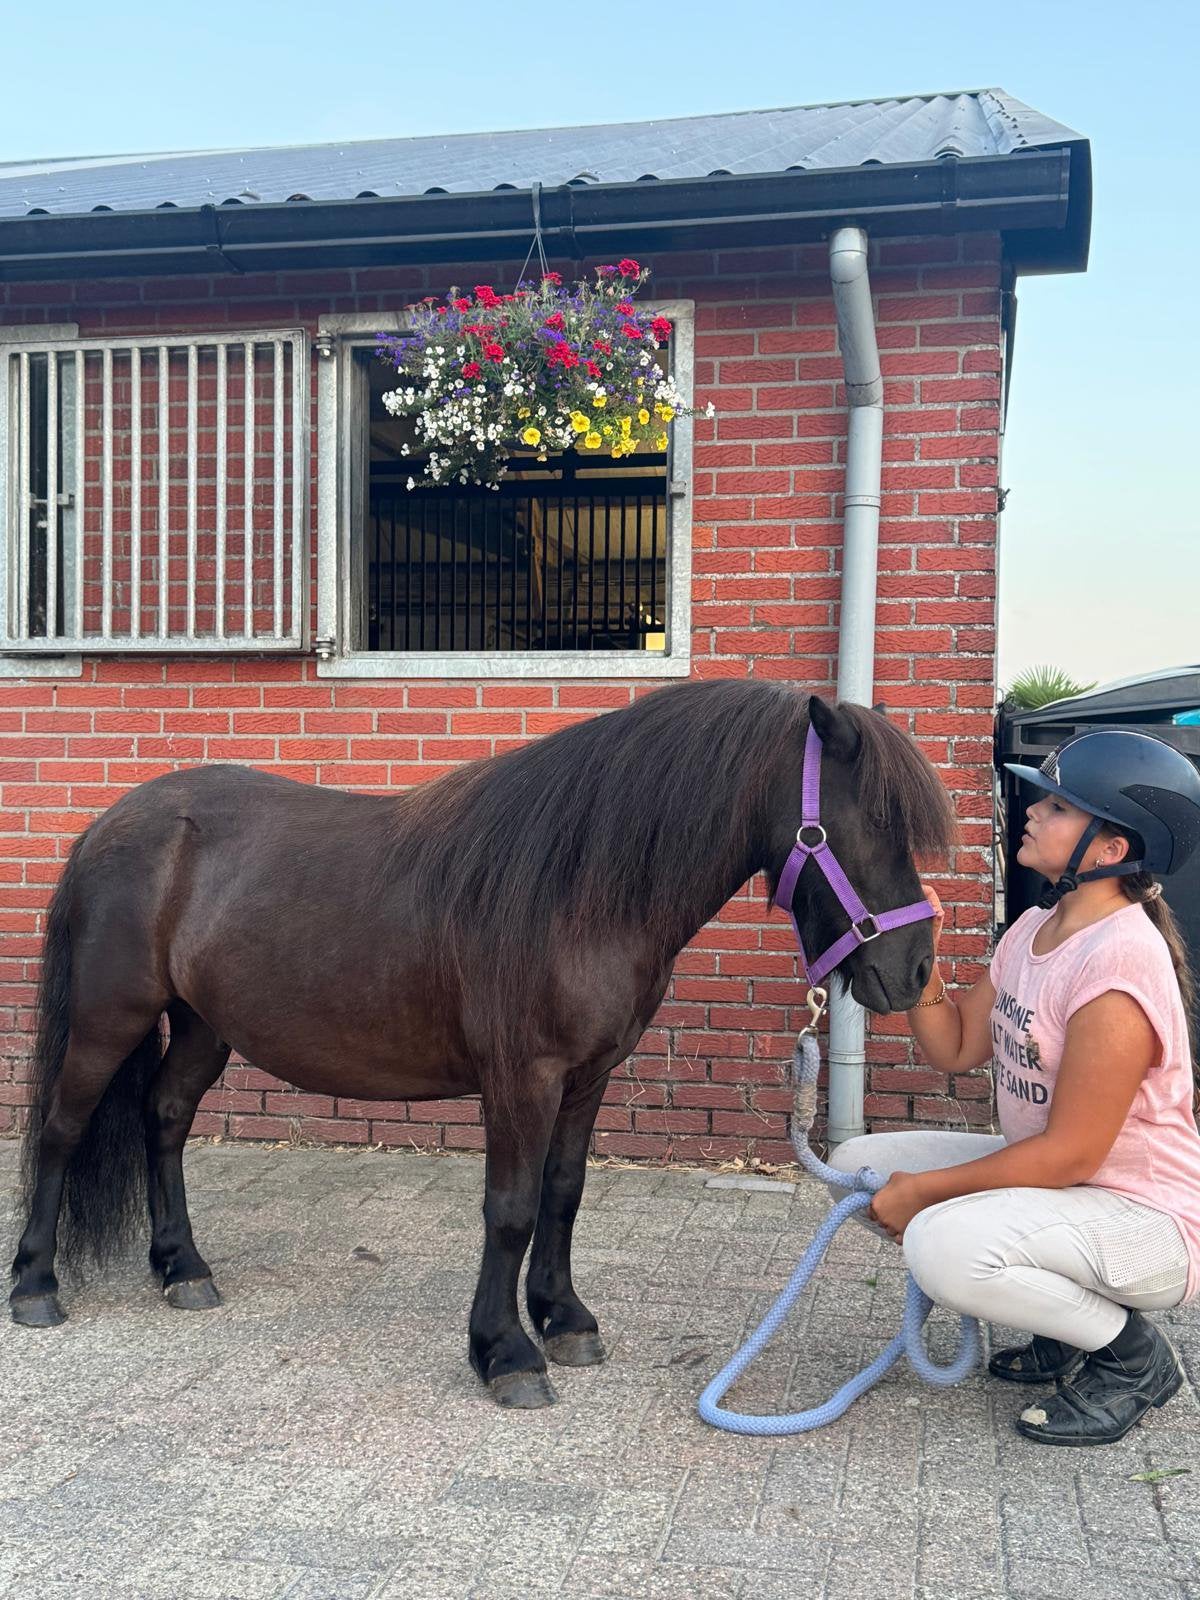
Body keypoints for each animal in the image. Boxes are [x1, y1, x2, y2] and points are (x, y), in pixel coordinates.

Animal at [9, 680, 956, 1408]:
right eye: (860, 827)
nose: (913, 972)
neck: (579, 888)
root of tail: (111, 824)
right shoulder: (521, 1079)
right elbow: (510, 1209)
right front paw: (506, 1353)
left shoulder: (588, 1077)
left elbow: (564, 1193)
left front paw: (564, 1318)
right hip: (109, 1018)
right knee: (61, 1131)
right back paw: (36, 1285)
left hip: (205, 1024)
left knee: (165, 1118)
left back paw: (182, 1269)